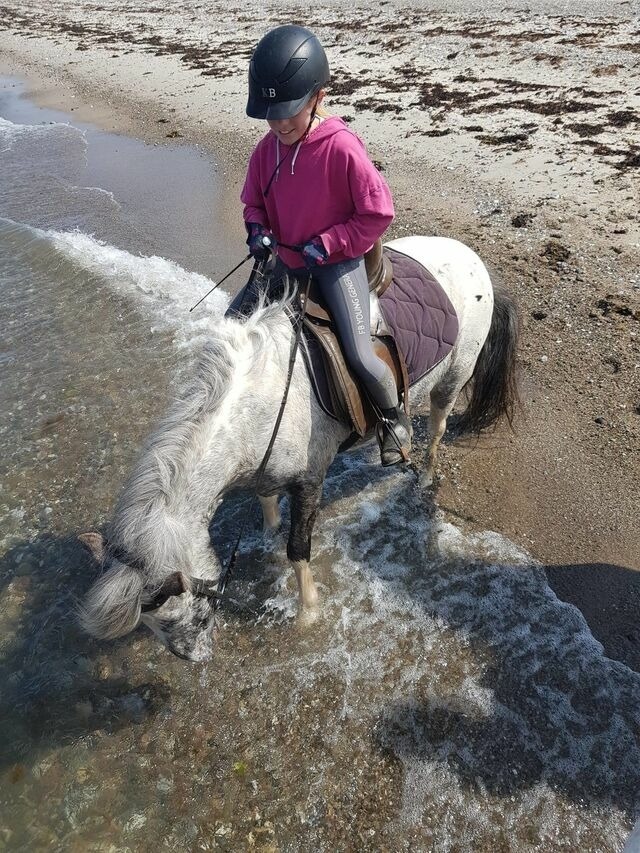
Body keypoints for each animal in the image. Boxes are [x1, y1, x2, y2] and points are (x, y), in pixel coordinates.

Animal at [80, 236, 520, 664]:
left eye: (188, 612)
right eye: (154, 625)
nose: (195, 658)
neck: (261, 403)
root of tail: (471, 256)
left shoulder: (310, 479)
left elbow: (298, 549)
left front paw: (308, 613)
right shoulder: (266, 468)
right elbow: (267, 505)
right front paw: (268, 537)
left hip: (452, 378)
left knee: (438, 427)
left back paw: (424, 475)